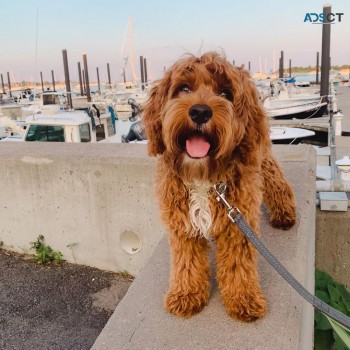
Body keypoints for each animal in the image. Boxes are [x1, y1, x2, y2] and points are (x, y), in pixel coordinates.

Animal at [141, 52, 296, 322]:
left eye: (225, 93)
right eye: (184, 88)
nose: (200, 112)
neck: (204, 176)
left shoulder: (237, 226)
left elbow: (238, 263)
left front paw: (244, 299)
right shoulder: (183, 223)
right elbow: (186, 261)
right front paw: (186, 294)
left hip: (262, 159)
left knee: (276, 179)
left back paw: (284, 213)